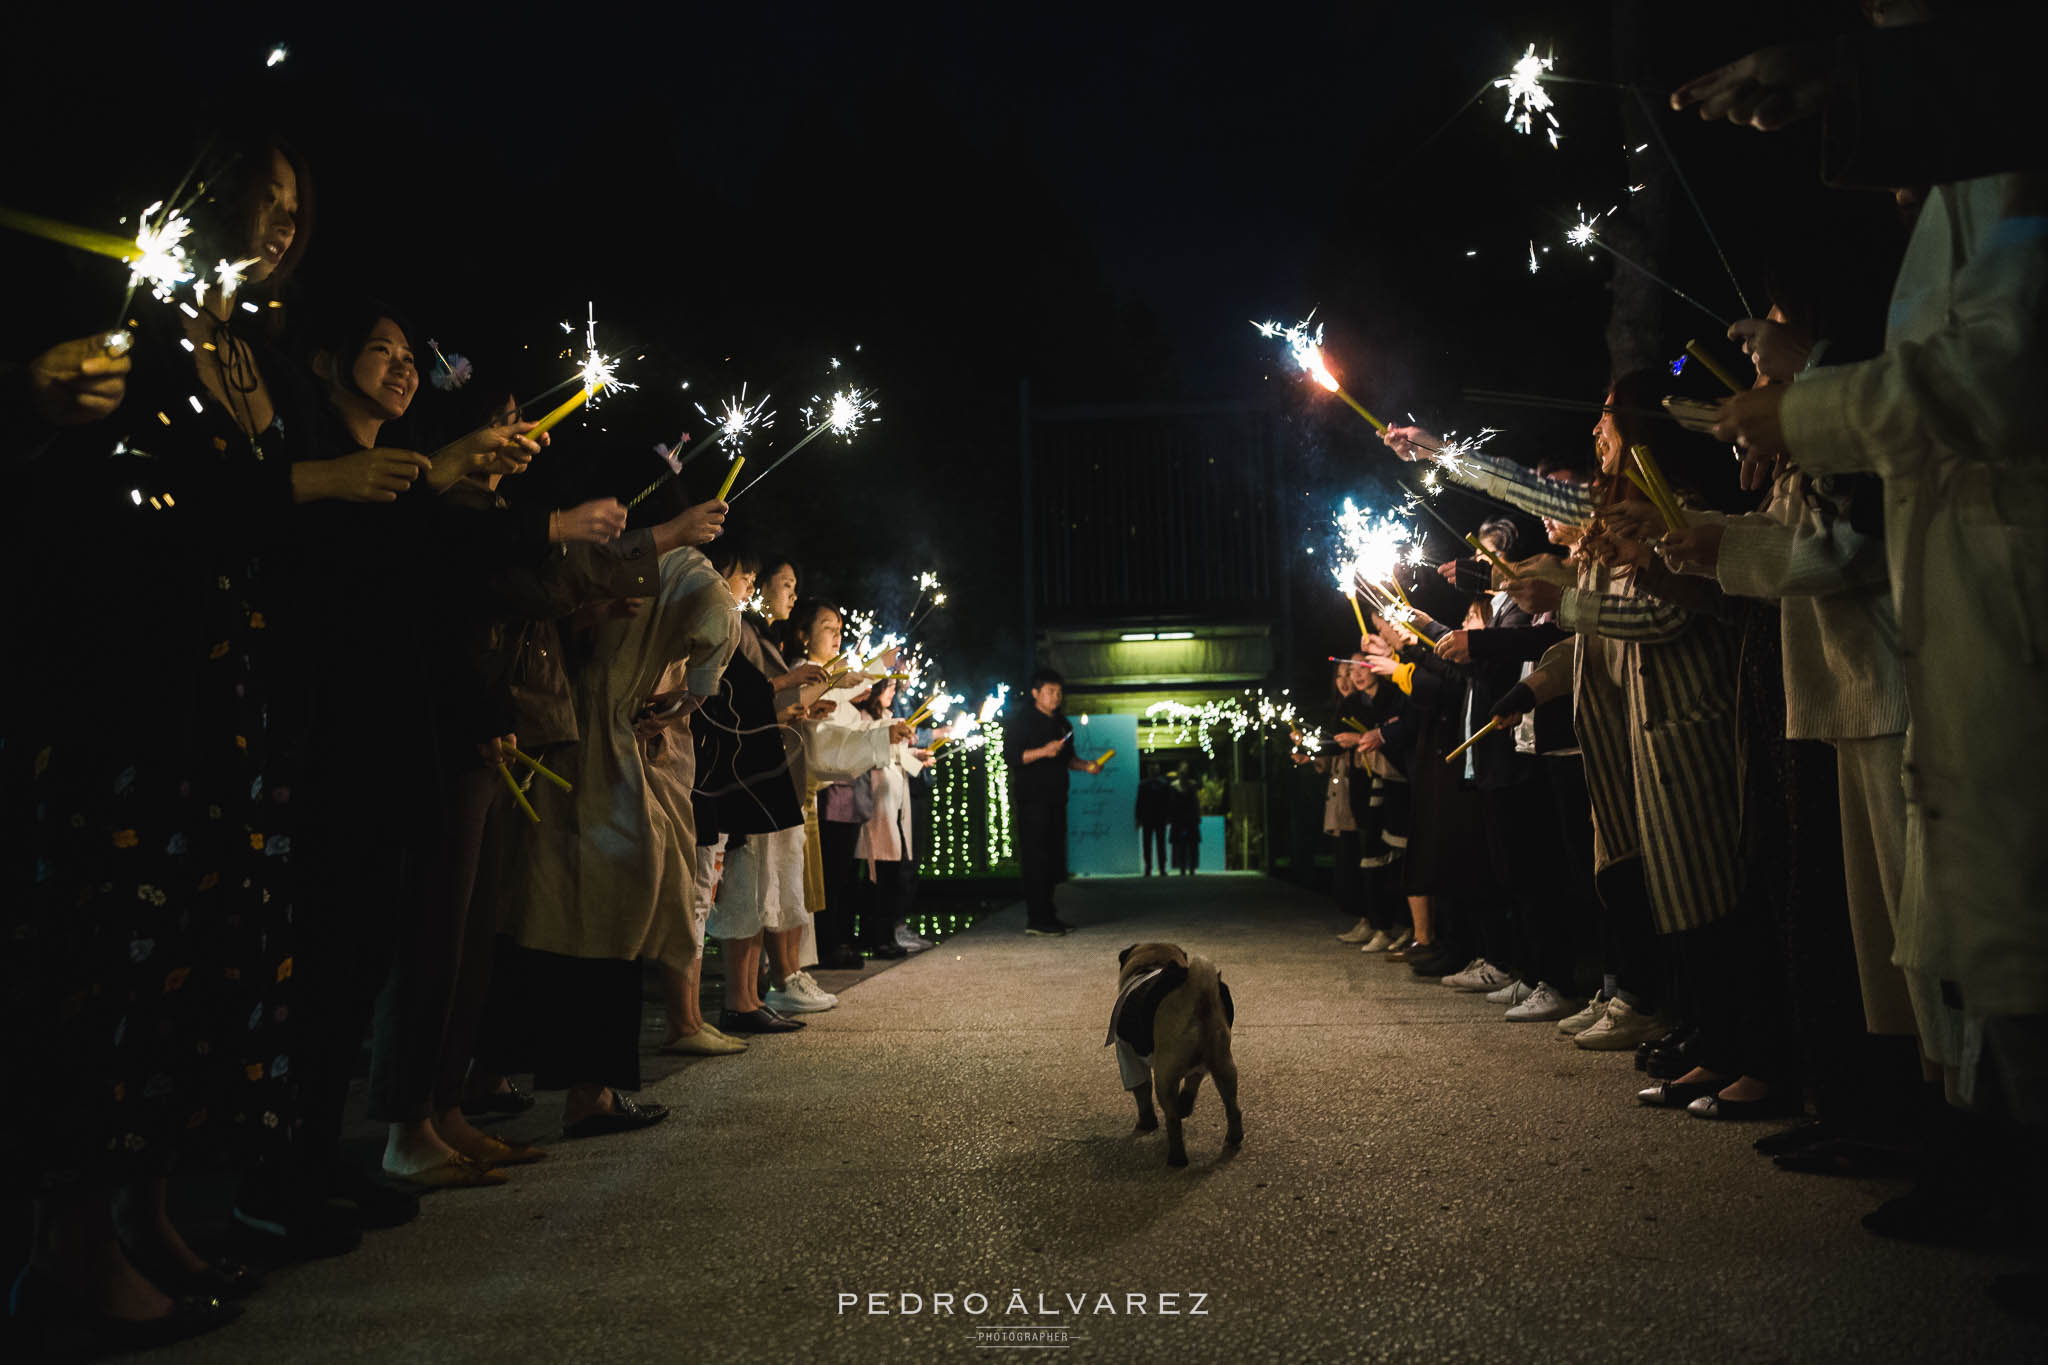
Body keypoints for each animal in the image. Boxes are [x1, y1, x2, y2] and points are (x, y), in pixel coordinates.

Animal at [1114, 945, 1236, 1170]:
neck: (1151, 964)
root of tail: (1198, 990)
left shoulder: (1128, 1057)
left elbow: (1142, 1095)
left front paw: (1146, 1123)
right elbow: (1192, 1083)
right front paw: (1185, 1104)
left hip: (1165, 1079)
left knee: (1172, 1121)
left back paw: (1177, 1159)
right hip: (1224, 1066)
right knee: (1232, 1107)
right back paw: (1233, 1137)